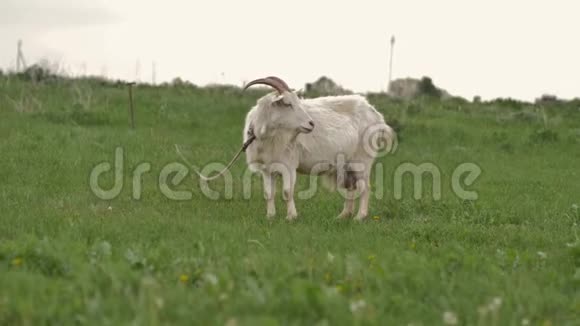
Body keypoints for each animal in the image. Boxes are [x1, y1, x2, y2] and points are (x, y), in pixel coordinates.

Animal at [238, 75, 396, 220]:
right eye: (287, 104)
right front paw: (270, 216)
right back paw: (344, 215)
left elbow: (287, 191)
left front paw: (291, 217)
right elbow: (268, 193)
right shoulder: (266, 168)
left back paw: (360, 217)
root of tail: (376, 115)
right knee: (351, 187)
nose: (311, 124)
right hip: (348, 164)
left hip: (362, 160)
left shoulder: (288, 164)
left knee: (365, 187)